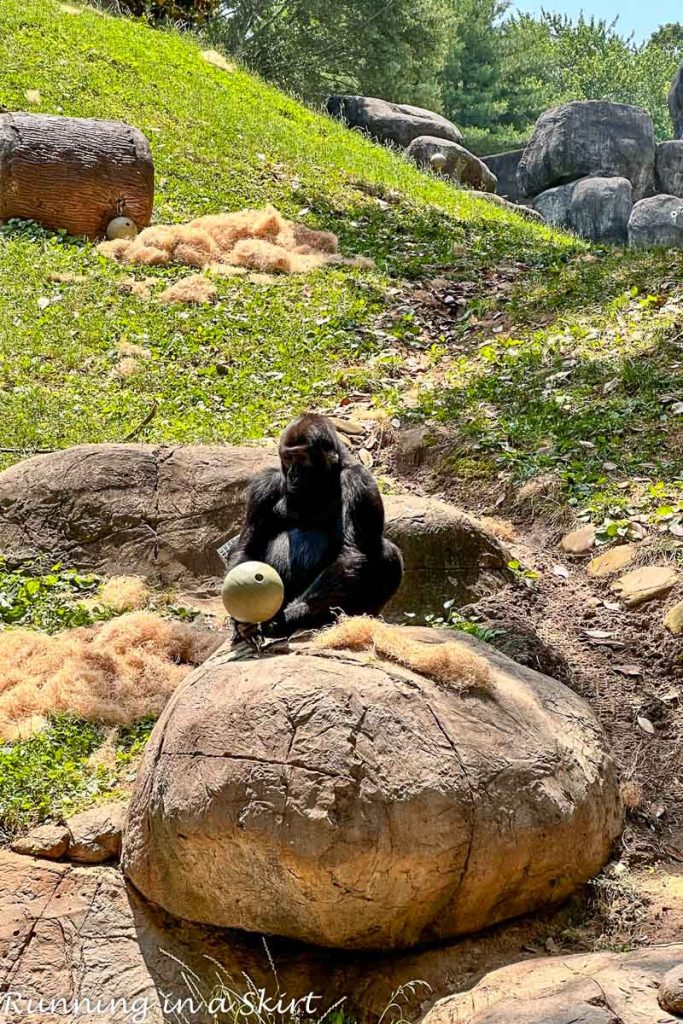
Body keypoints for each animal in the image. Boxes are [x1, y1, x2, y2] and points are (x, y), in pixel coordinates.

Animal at [227, 411, 403, 634]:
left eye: (302, 458)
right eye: (288, 458)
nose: (293, 474)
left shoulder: (359, 481)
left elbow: (352, 553)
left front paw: (289, 615)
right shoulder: (264, 486)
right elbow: (247, 548)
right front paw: (239, 621)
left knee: (388, 552)